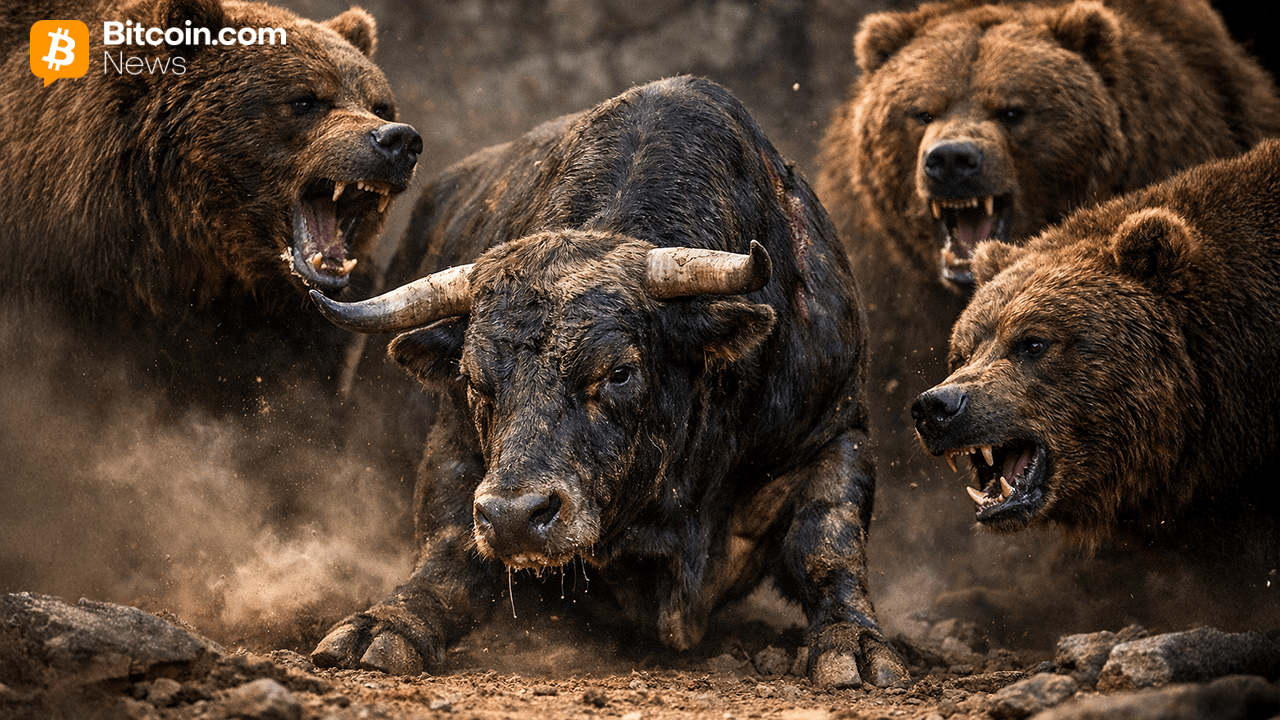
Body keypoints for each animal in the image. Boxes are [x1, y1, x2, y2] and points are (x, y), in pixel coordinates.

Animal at [307, 76, 908, 689]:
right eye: (473, 379)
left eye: (619, 371)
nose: (515, 518)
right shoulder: (457, 447)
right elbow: (449, 553)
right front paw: (389, 625)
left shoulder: (835, 431)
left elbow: (828, 544)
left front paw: (853, 640)